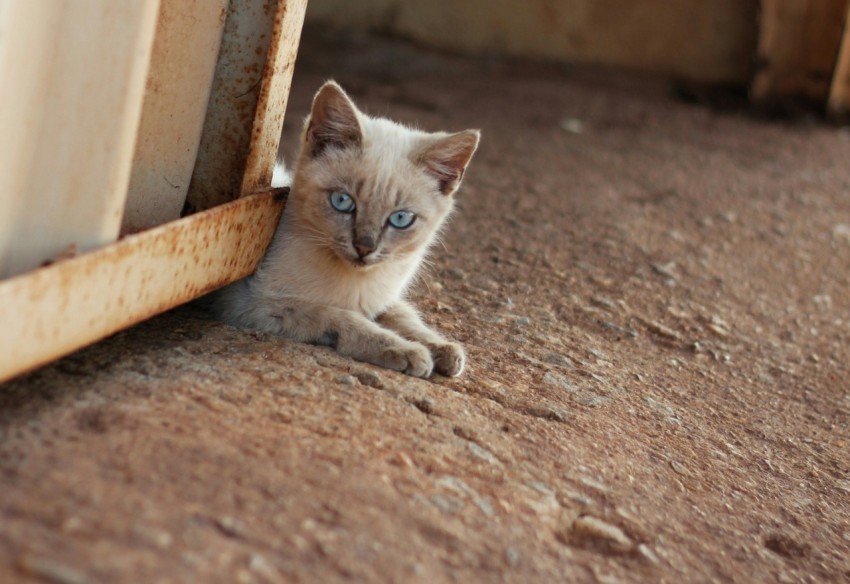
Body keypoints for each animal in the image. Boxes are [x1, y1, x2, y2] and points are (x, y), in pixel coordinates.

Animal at [211, 80, 476, 376]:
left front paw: (443, 348)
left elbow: (404, 316)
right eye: (342, 201)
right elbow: (342, 317)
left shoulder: (381, 300)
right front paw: (408, 352)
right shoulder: (252, 302)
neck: (358, 283)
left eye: (401, 218)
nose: (364, 247)